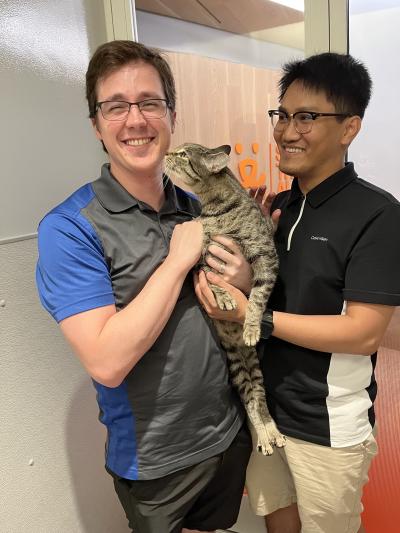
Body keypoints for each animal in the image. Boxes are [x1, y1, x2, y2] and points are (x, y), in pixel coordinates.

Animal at [166, 141, 284, 454]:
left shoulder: (265, 255)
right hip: (237, 367)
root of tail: (237, 347)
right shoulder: (199, 259)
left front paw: (252, 326)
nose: (166, 153)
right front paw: (225, 298)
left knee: (260, 401)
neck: (215, 210)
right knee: (250, 402)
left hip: (253, 367)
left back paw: (273, 433)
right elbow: (210, 277)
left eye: (183, 154)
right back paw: (264, 438)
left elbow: (257, 297)